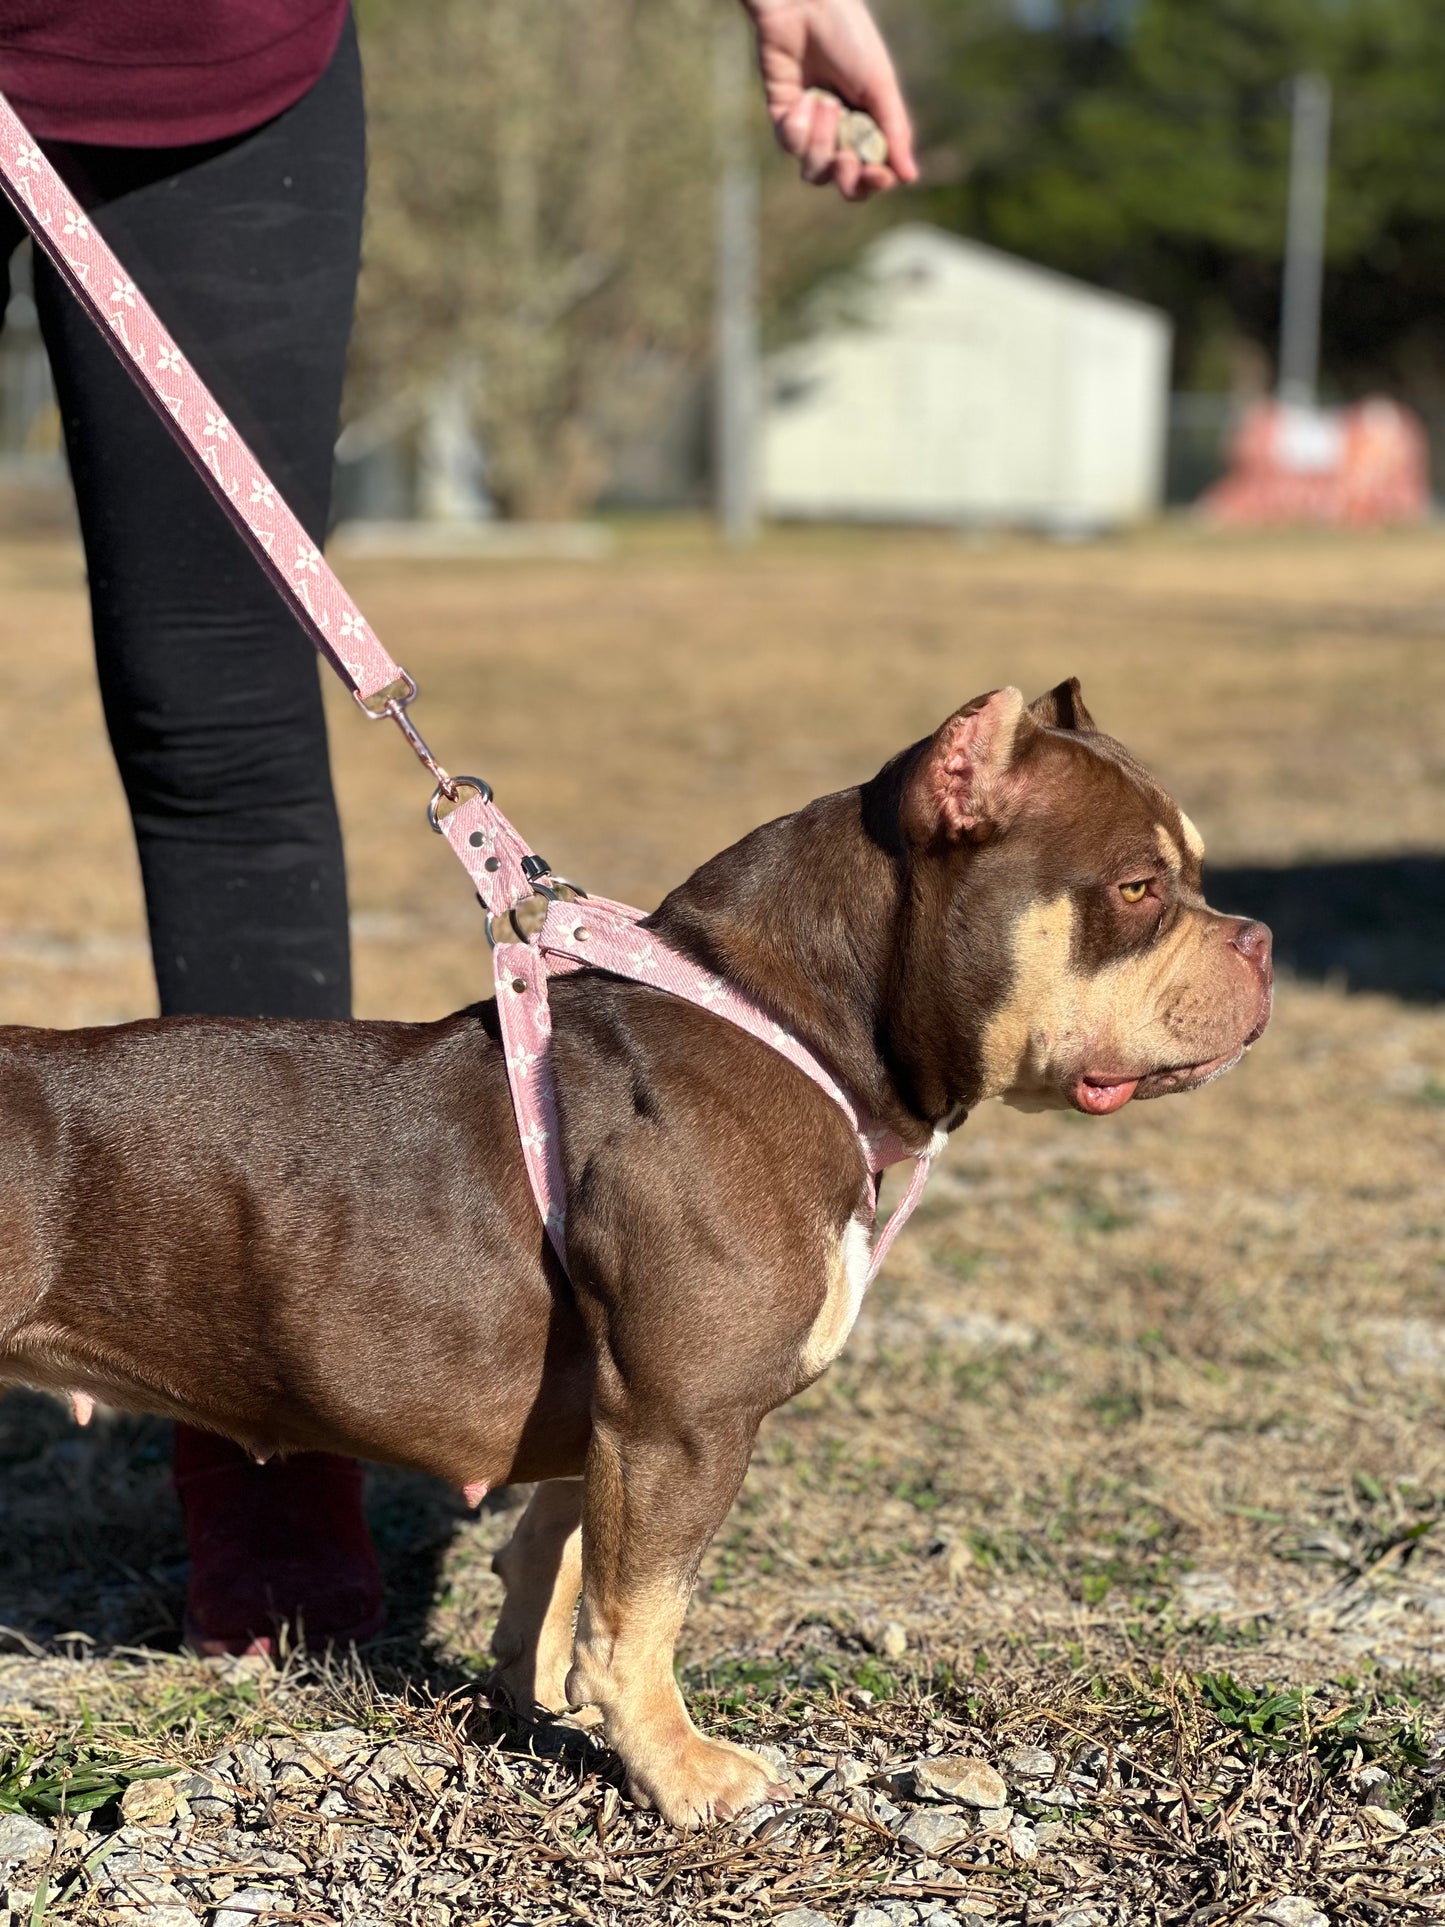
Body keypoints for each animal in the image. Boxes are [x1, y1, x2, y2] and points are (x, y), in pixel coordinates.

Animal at [0, 686, 1263, 1826]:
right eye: (1138, 887)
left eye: (1196, 874)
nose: (1257, 939)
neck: (783, 1021)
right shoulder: (682, 1423)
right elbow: (639, 1619)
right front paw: (680, 1771)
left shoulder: (611, 1417)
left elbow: (558, 1561)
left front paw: (535, 1700)